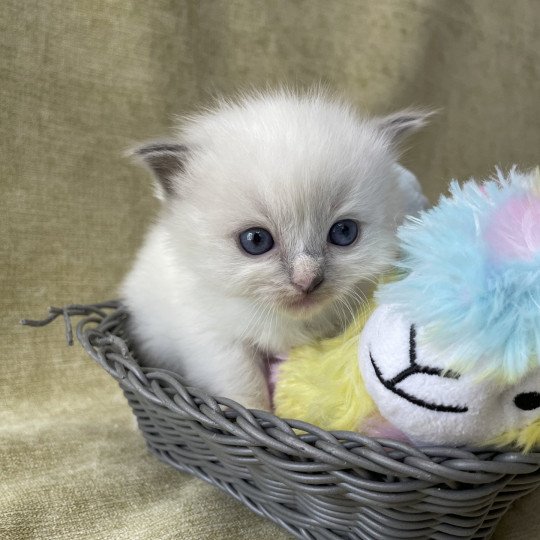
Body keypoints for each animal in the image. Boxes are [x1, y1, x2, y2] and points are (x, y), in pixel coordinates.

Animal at [120, 89, 428, 410]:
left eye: (344, 232)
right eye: (256, 240)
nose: (307, 280)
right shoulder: (211, 336)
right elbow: (242, 385)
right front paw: (252, 413)